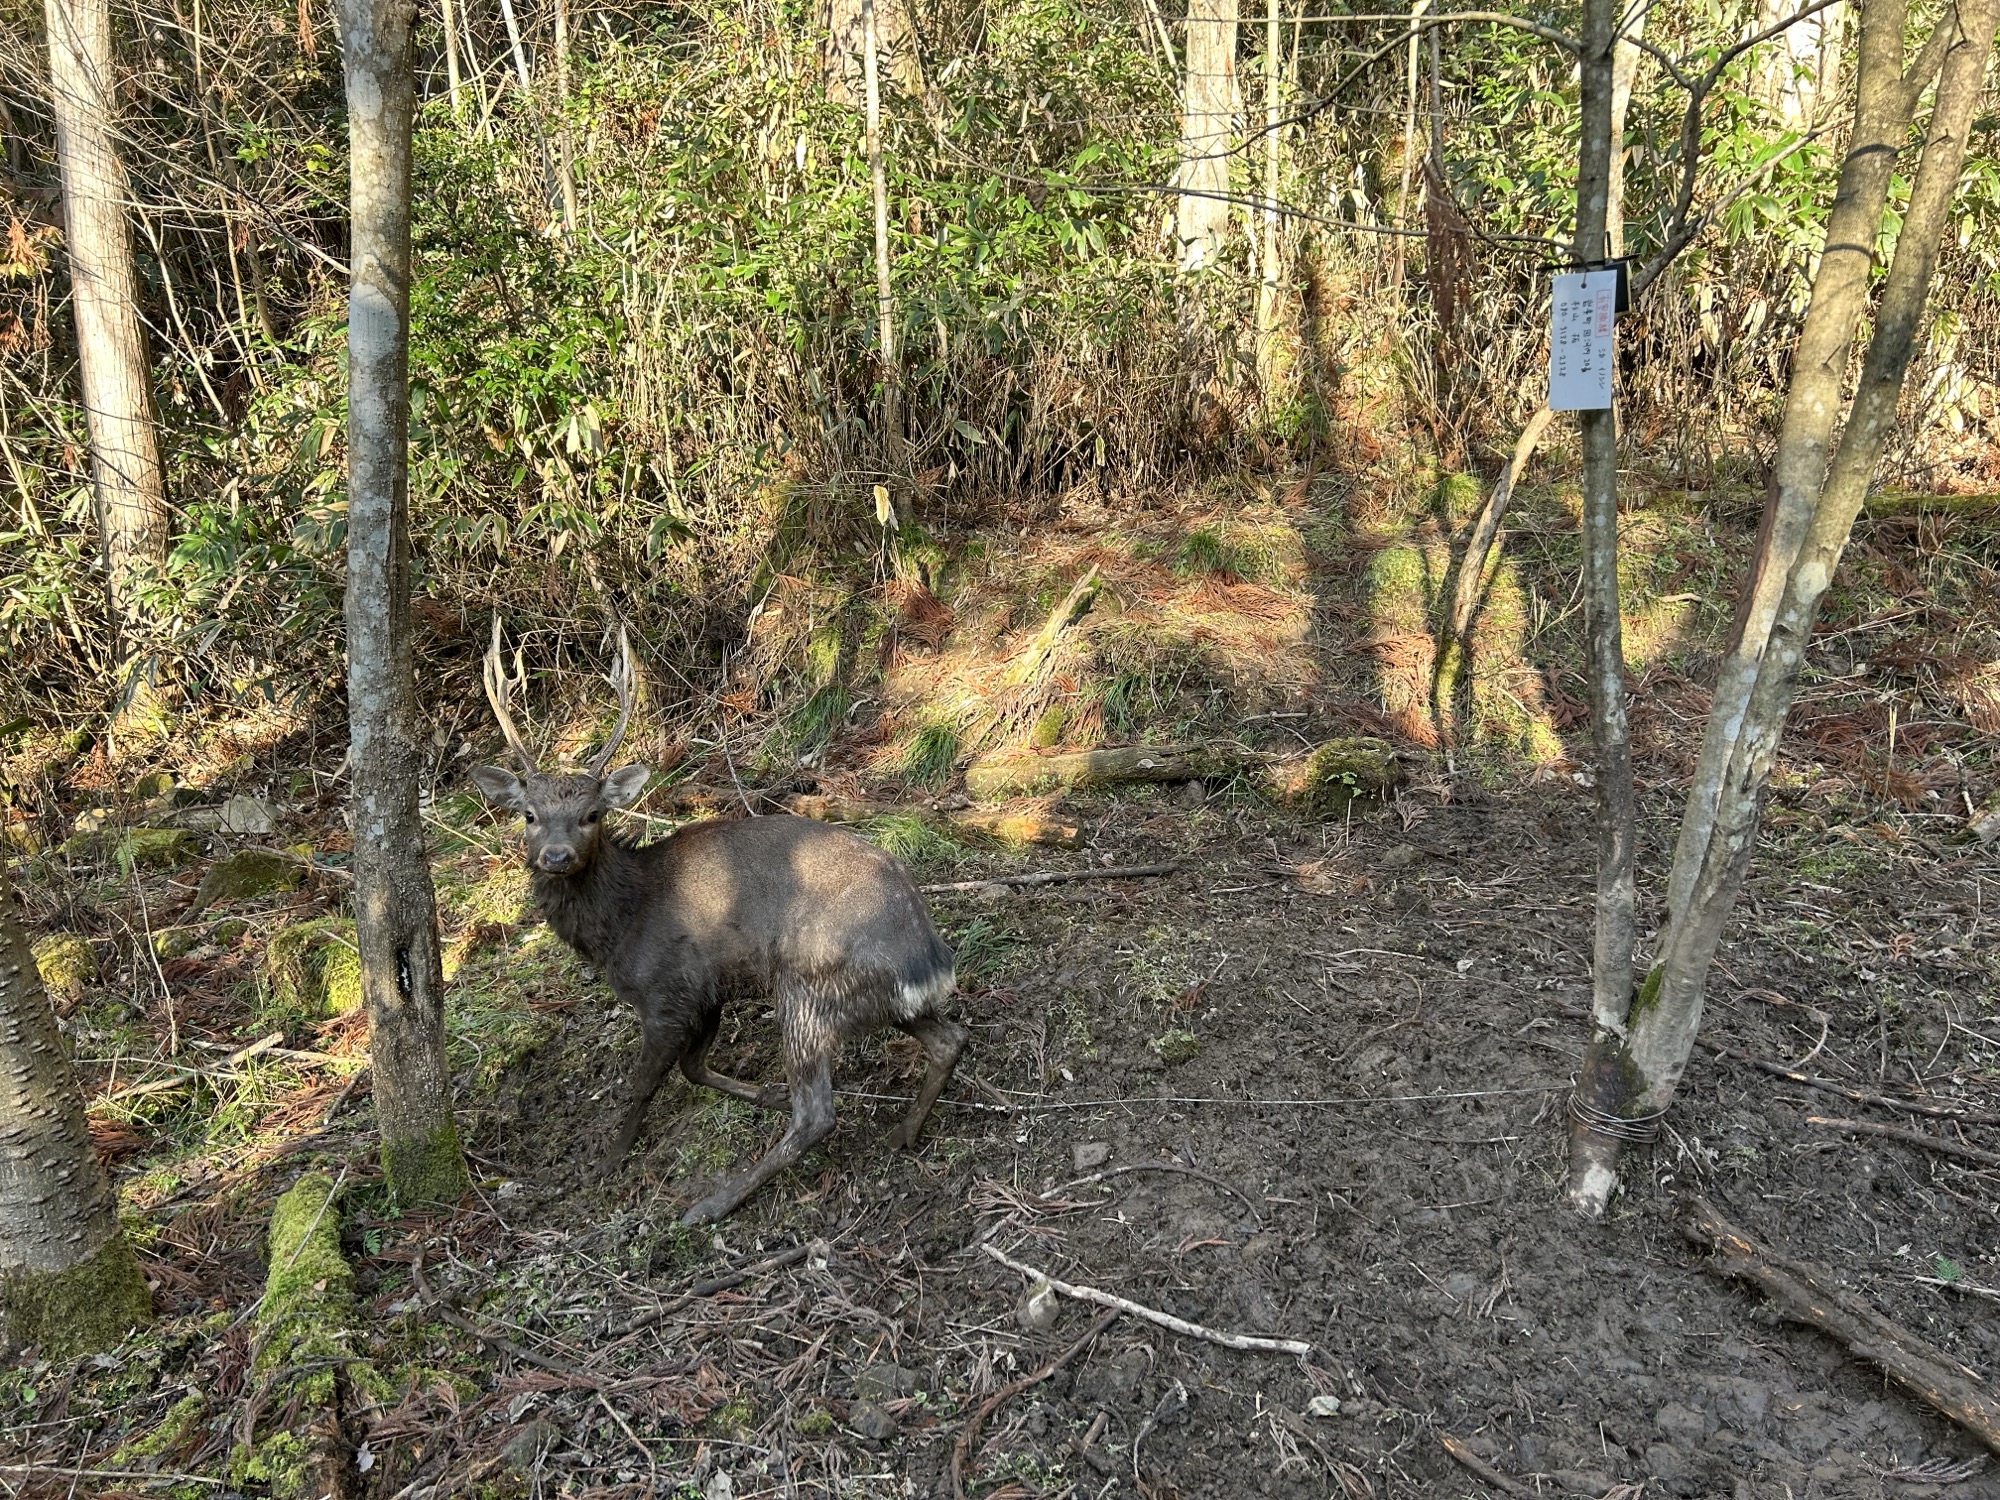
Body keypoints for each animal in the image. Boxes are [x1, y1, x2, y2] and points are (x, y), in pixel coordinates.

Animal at [467, 619, 966, 1226]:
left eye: (592, 814)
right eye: (528, 814)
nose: (556, 856)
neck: (620, 928)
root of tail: (930, 959)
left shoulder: (668, 990)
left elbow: (645, 1081)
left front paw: (610, 1161)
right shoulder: (708, 991)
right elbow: (694, 1065)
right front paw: (763, 1093)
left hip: (807, 986)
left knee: (817, 1113)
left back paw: (711, 1204)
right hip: (880, 1001)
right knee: (950, 1039)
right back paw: (902, 1134)